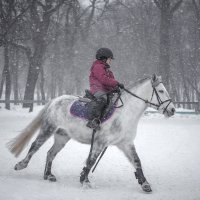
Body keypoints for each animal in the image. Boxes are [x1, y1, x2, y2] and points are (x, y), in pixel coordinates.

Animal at [7, 74, 175, 193]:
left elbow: (137, 162)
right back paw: (21, 165)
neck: (124, 113)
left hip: (62, 137)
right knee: (35, 146)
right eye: (161, 91)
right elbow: (91, 161)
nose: (172, 110)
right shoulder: (100, 142)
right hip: (48, 129)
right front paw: (84, 180)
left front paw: (145, 184)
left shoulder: (125, 143)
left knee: (50, 153)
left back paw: (48, 175)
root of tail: (55, 100)